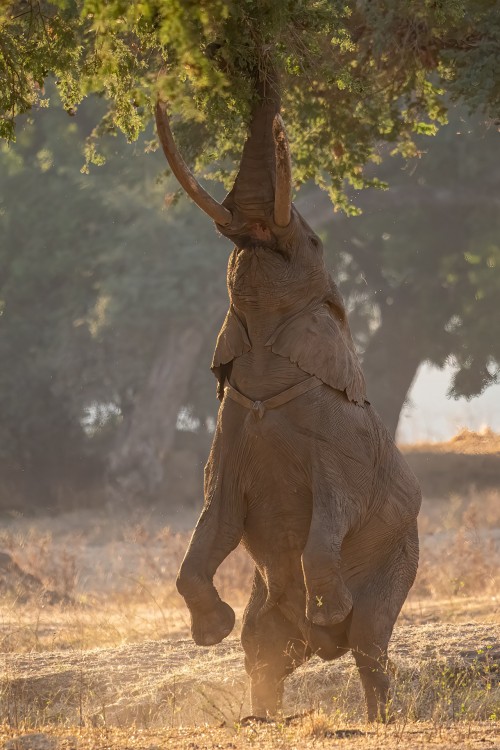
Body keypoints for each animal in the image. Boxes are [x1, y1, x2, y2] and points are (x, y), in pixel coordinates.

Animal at [156, 75, 422, 724]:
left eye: (313, 241)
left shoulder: (341, 446)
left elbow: (332, 512)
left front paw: (330, 606)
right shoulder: (228, 434)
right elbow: (213, 516)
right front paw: (211, 631)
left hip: (400, 559)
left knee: (371, 642)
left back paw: (371, 706)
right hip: (270, 599)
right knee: (263, 647)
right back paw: (265, 713)